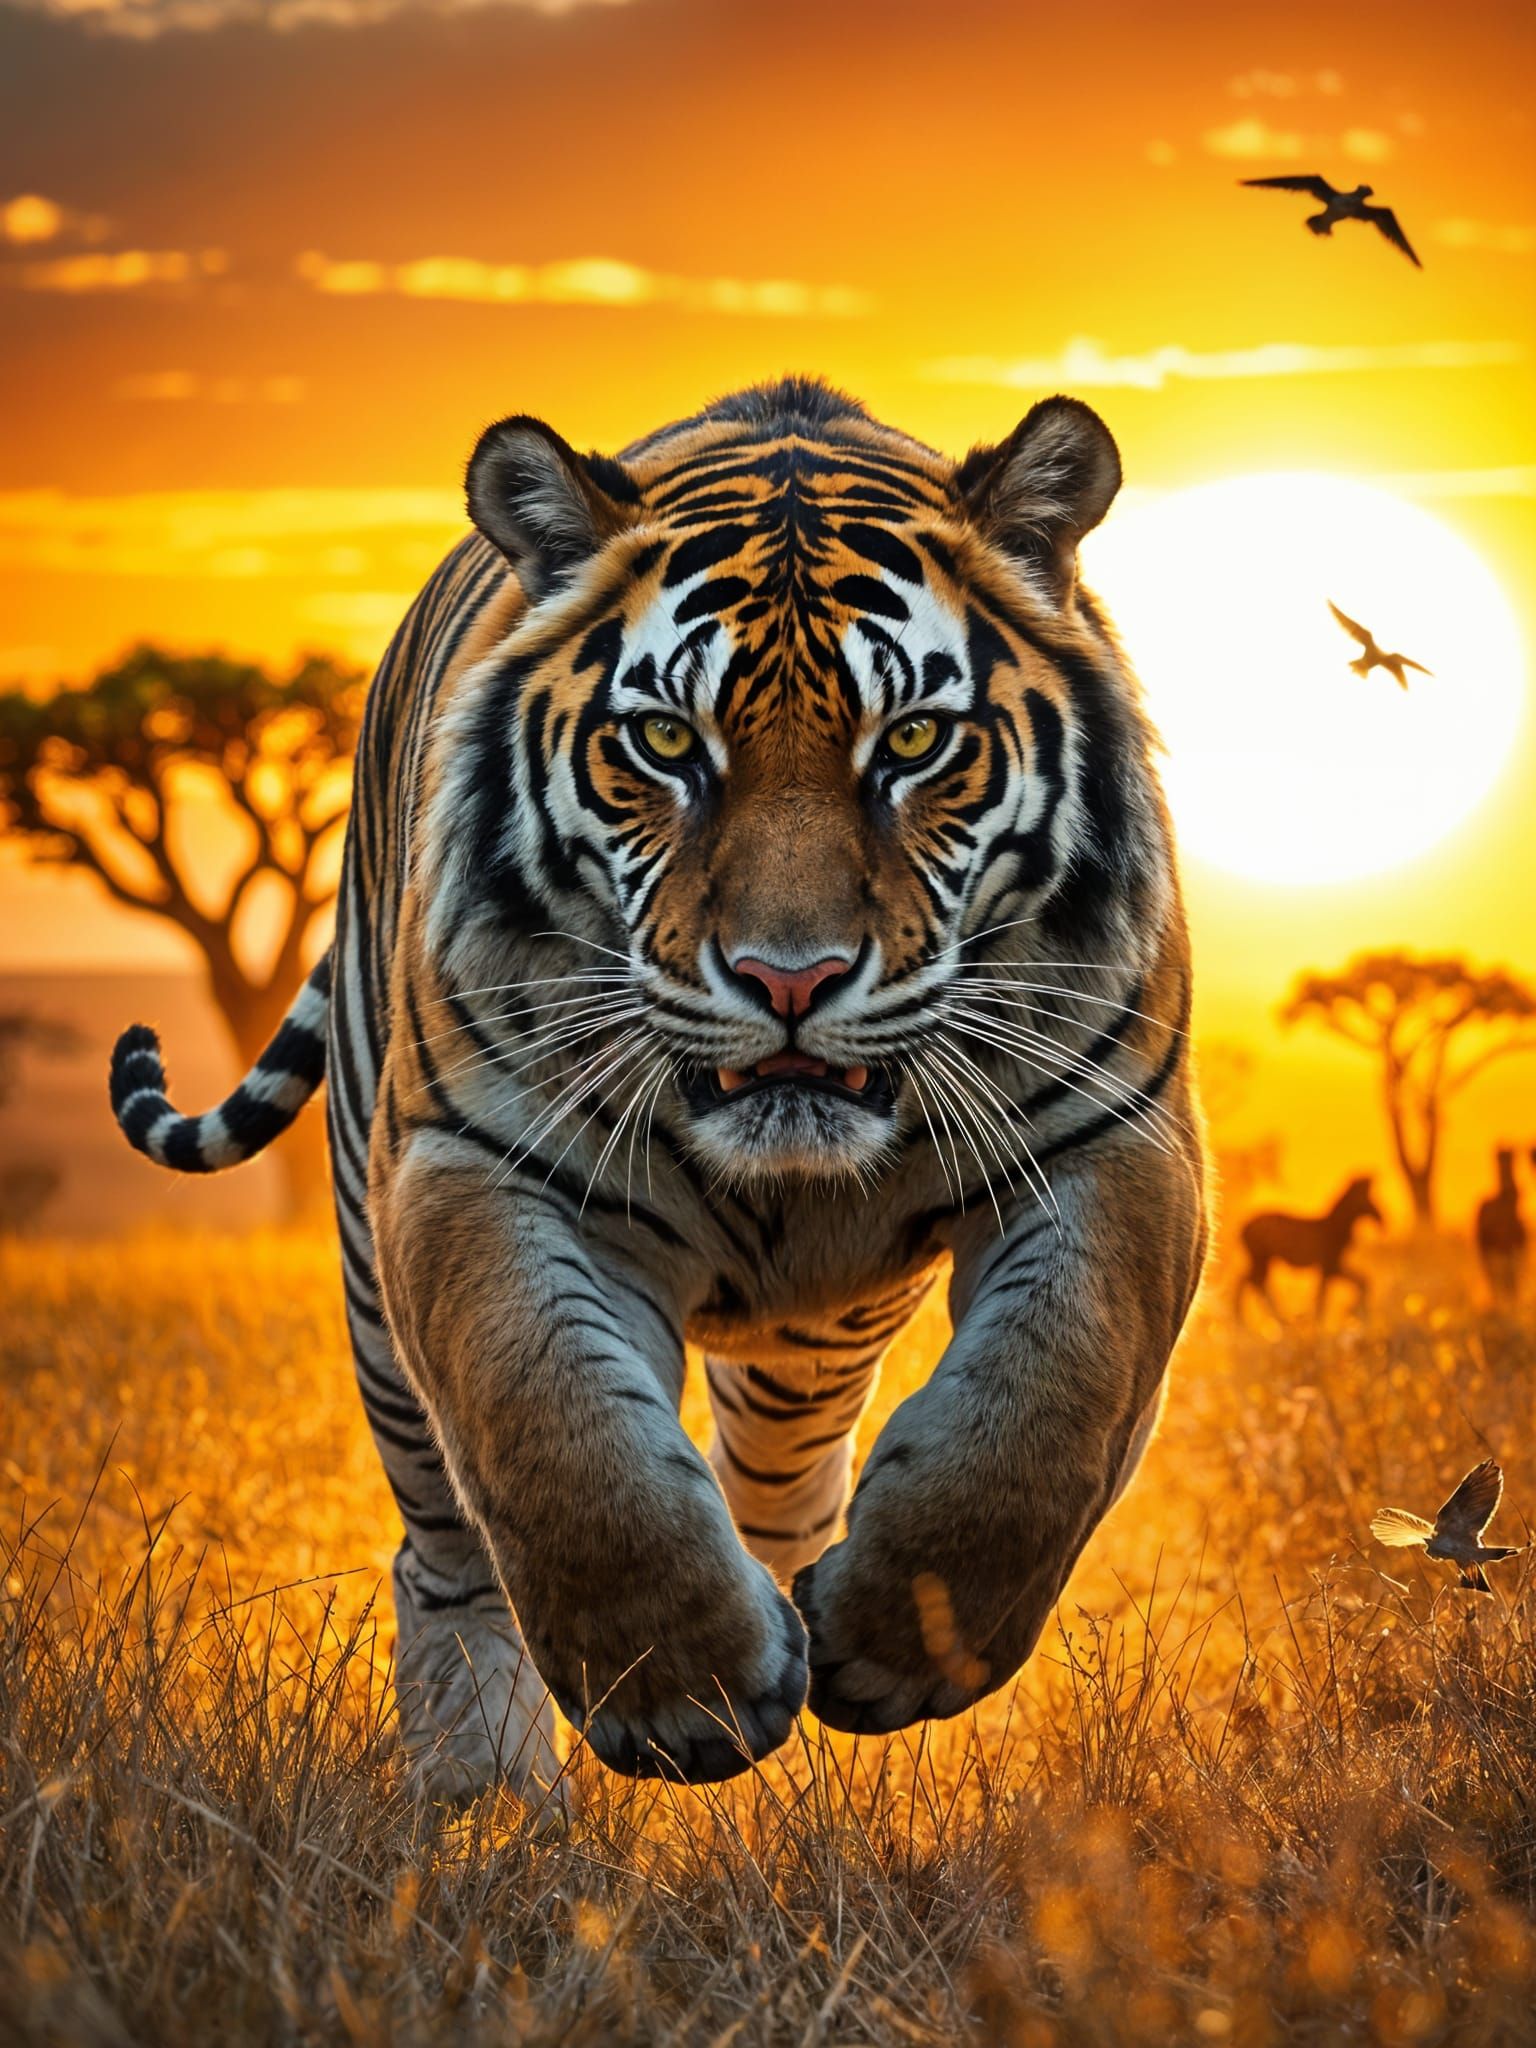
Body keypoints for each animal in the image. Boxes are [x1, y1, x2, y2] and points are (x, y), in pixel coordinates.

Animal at [110, 377, 1207, 1796]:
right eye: (666, 741)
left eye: (914, 739)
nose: (789, 977)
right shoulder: (469, 1161)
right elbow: (562, 1436)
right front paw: (690, 1692)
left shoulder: (1120, 1135)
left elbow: (1048, 1395)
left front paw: (894, 1643)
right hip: (372, 1265)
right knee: (445, 1551)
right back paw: (487, 1797)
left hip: (811, 1351)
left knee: (784, 1480)